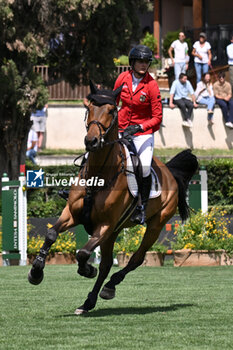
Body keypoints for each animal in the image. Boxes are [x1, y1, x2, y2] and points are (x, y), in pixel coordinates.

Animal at [27, 82, 198, 314]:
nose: (91, 141)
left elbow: (83, 253)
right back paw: (88, 302)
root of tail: (170, 171)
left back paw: (108, 287)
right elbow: (52, 234)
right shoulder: (73, 214)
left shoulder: (105, 225)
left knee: (136, 258)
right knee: (107, 263)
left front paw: (87, 269)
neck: (98, 174)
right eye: (89, 107)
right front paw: (36, 272)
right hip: (115, 231)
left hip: (154, 225)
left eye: (111, 110)